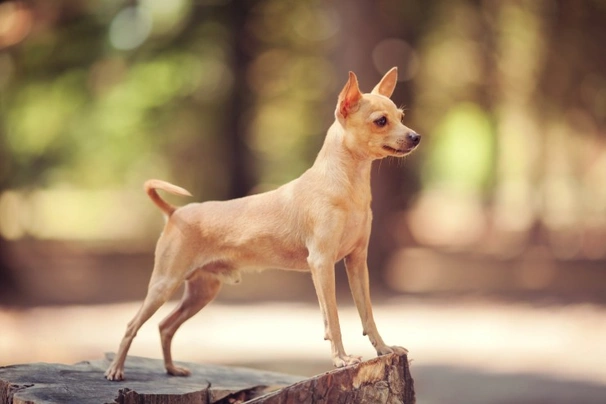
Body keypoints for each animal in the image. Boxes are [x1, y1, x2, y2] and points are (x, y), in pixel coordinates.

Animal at [105, 67, 422, 382]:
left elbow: (367, 314)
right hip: (164, 284)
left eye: (401, 117)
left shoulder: (357, 262)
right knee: (132, 325)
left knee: (165, 326)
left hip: (201, 292)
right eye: (381, 121)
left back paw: (171, 368)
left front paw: (383, 349)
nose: (416, 136)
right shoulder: (321, 264)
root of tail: (175, 213)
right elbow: (332, 319)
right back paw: (116, 370)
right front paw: (341, 359)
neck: (345, 185)